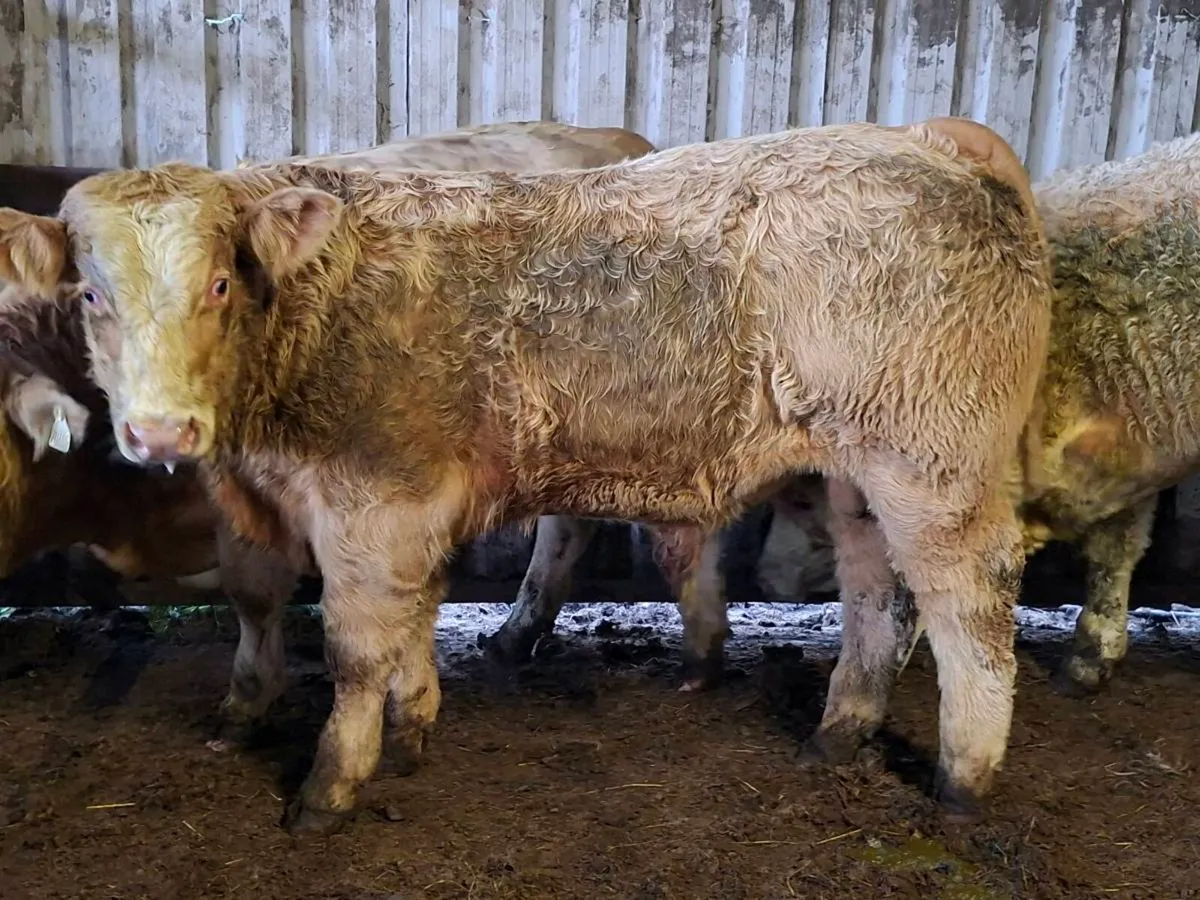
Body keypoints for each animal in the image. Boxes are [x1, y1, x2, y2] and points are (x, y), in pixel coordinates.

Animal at [0, 117, 1051, 833]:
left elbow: (355, 647)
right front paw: (396, 724)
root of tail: (929, 140)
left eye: (219, 284)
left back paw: (963, 776)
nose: (159, 430)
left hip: (936, 465)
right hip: (858, 476)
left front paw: (333, 782)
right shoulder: (330, 506)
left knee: (970, 603)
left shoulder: (373, 503)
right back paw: (838, 735)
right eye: (90, 295)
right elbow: (359, 613)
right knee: (878, 597)